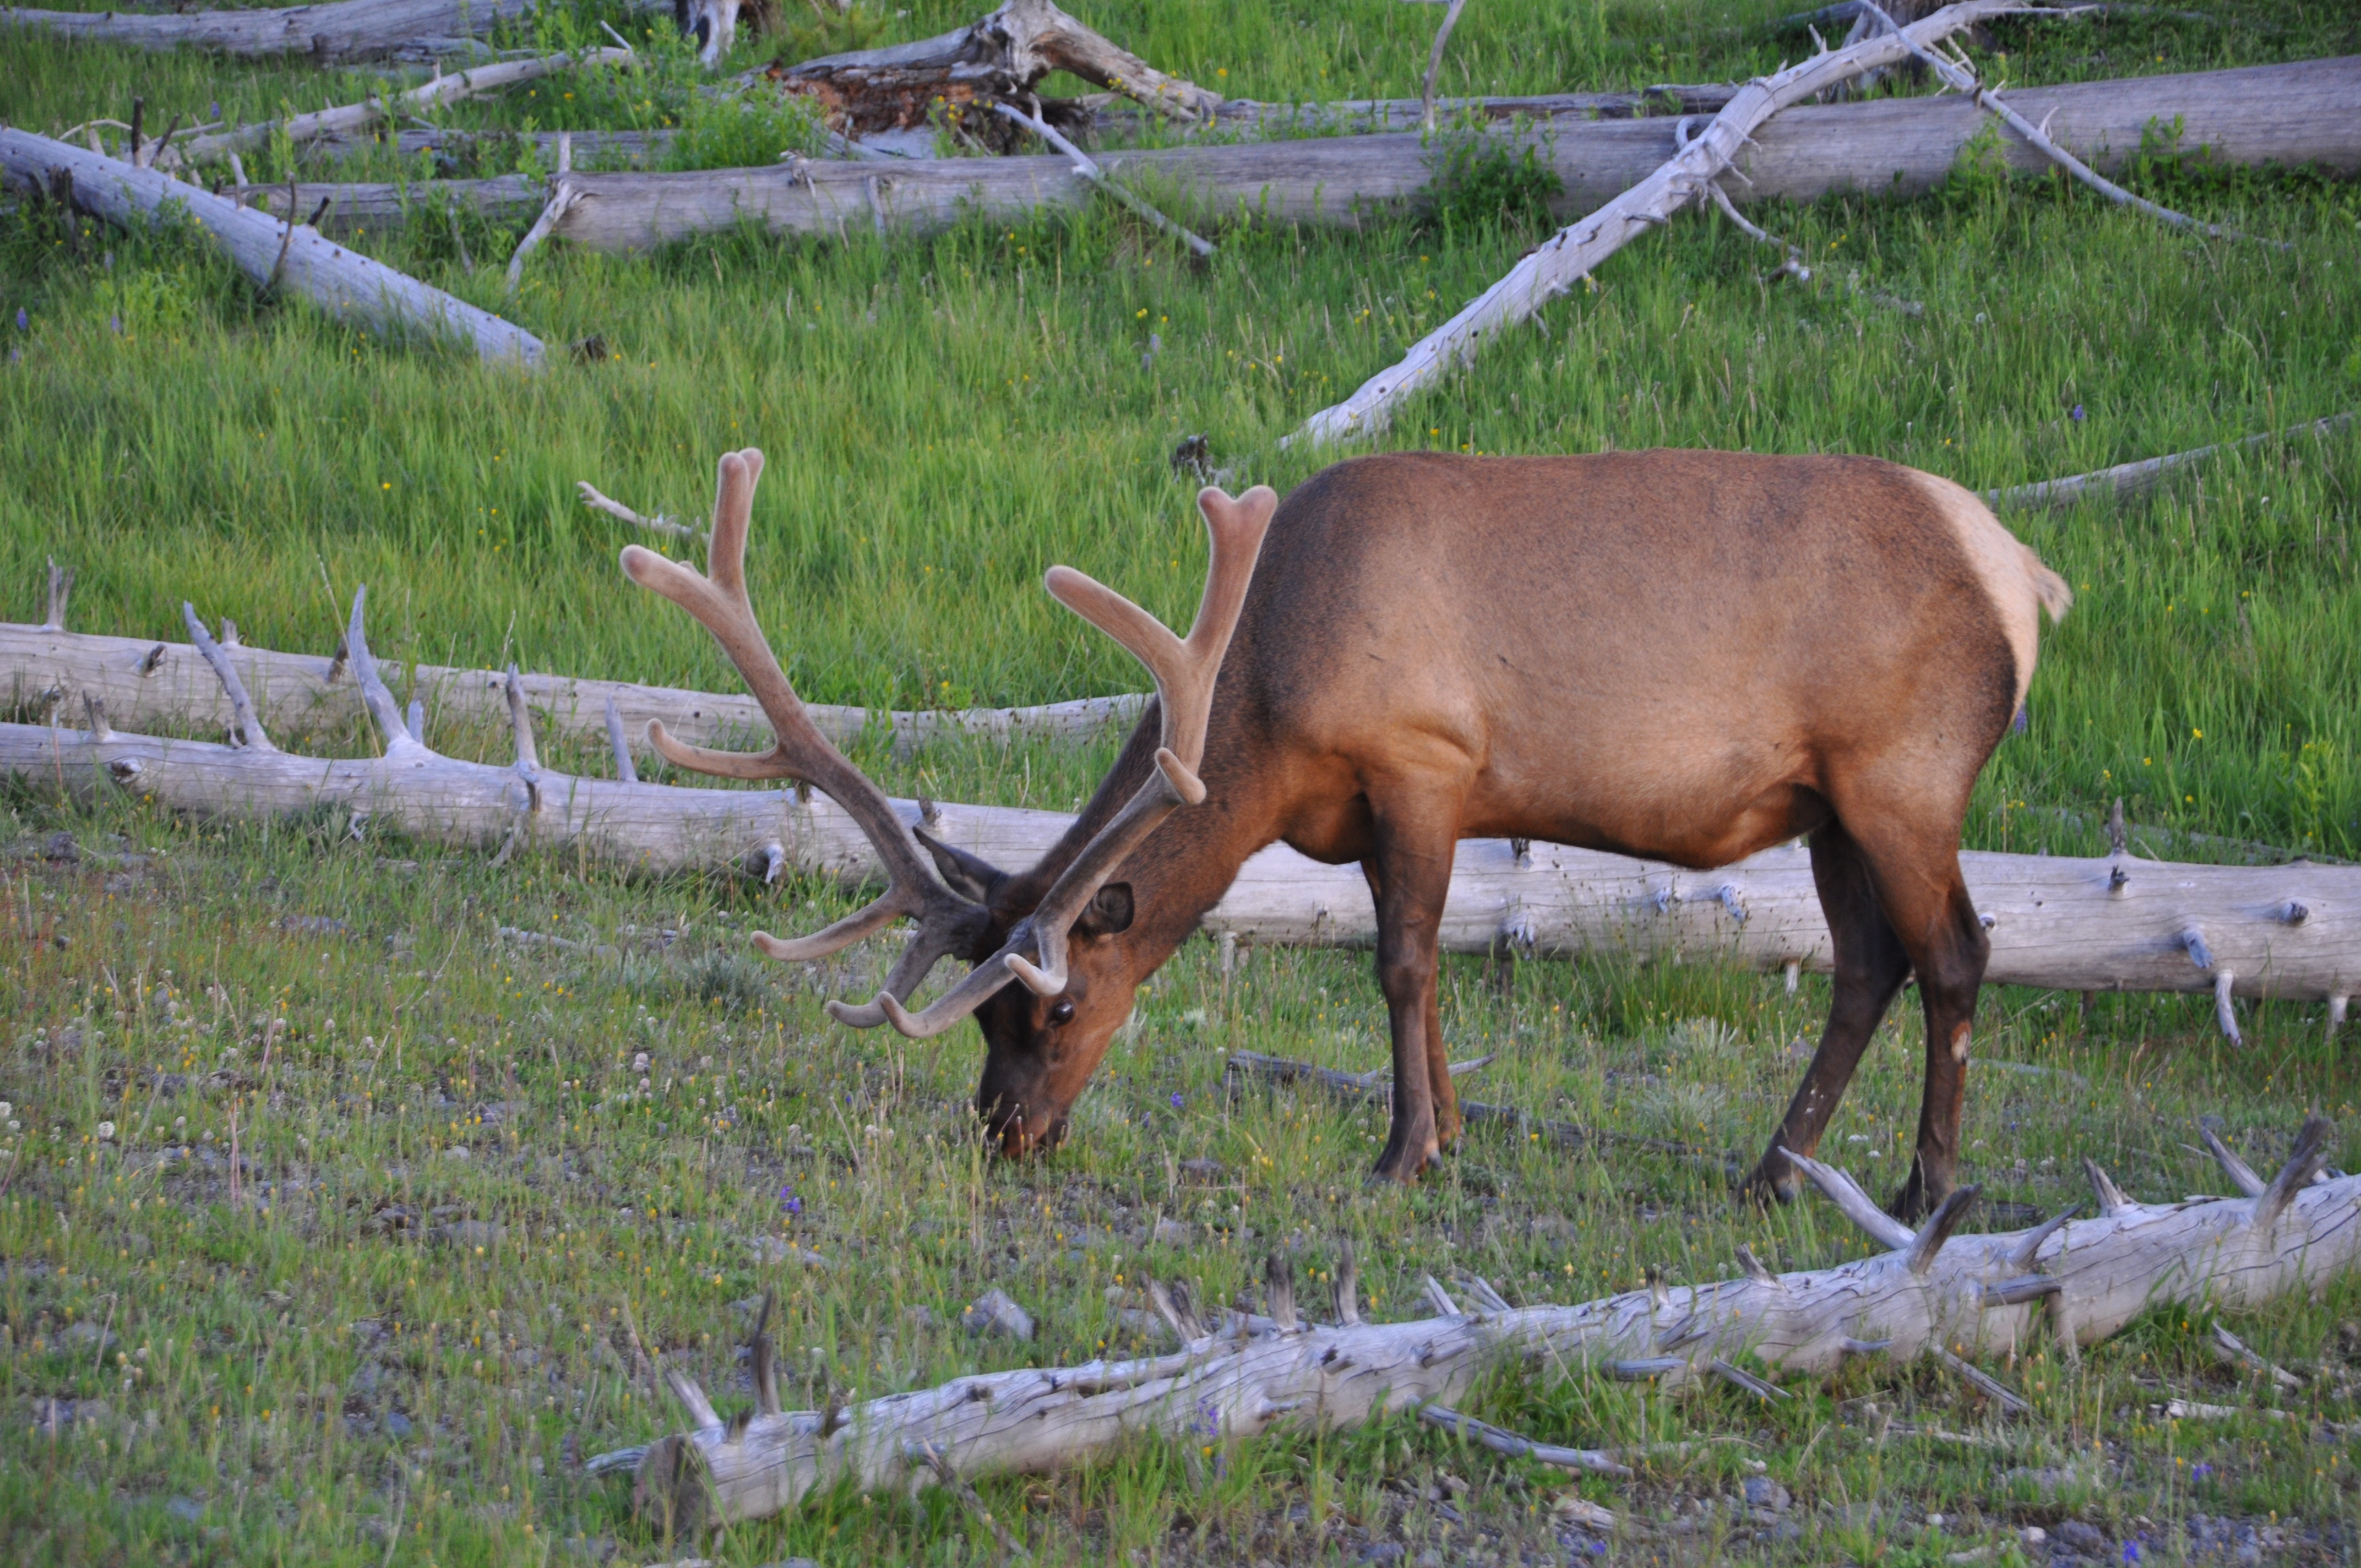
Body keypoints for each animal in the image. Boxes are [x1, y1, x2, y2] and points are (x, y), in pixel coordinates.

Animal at [628, 446, 2068, 1218]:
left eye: (1056, 1005)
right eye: (984, 1020)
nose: (1004, 1131)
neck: (1266, 695)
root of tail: (2026, 574)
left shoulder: (1424, 757)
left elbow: (1402, 963)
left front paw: (1399, 1151)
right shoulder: (1371, 808)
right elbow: (1408, 967)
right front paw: (1447, 1132)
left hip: (1903, 776)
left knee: (1956, 952)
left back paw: (1925, 1188)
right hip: (1829, 803)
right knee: (1864, 964)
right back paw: (1773, 1169)